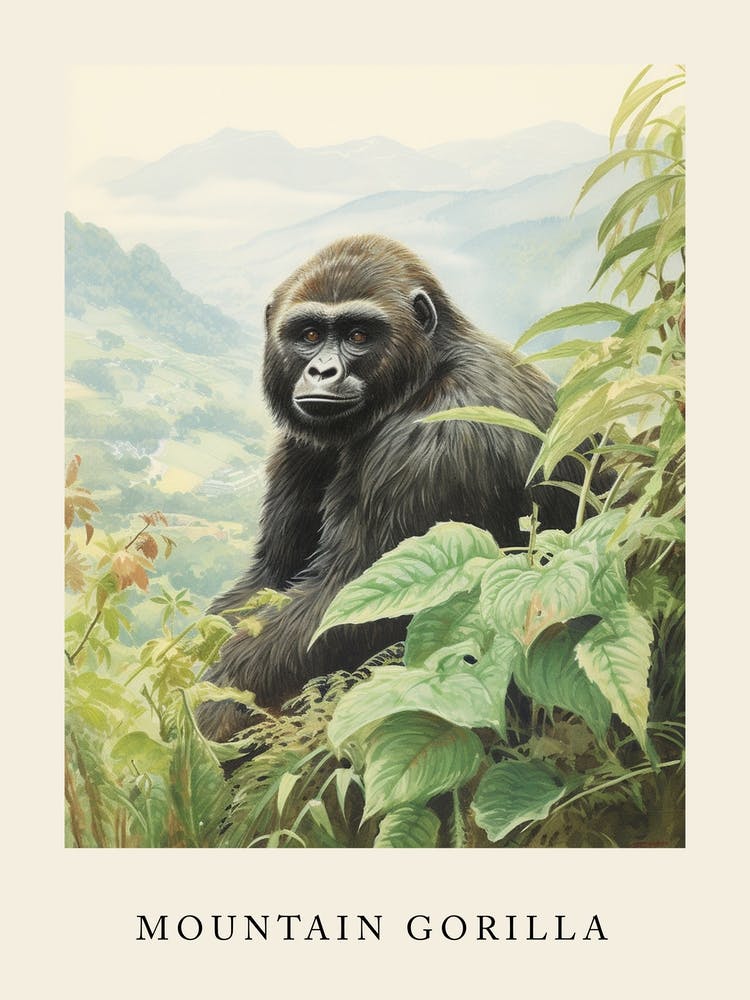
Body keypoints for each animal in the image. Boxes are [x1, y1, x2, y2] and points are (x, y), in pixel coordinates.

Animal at [196, 234, 597, 743]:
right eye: (309, 335)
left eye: (358, 336)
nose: (322, 372)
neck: (424, 371)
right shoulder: (299, 443)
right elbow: (266, 579)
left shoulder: (440, 436)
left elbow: (348, 610)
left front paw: (216, 705)